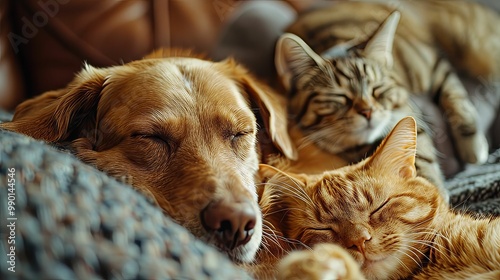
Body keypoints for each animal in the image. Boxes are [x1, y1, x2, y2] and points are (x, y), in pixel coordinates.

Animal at [276, 0, 498, 195]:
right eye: (340, 96)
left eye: (377, 89)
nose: (367, 111)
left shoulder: (433, 66)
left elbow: (455, 96)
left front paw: (473, 145)